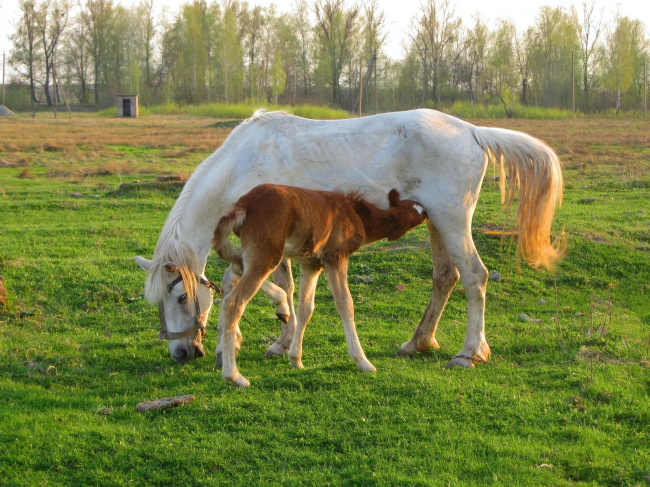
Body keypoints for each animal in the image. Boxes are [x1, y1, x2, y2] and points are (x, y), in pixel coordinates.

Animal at [134, 109, 560, 388]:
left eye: (180, 296)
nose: (181, 353)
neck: (244, 163)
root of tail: (472, 131)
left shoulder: (272, 244)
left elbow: (277, 286)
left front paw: (278, 335)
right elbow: (249, 282)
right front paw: (264, 340)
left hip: (452, 221)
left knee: (474, 277)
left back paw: (468, 353)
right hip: (437, 222)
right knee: (446, 277)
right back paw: (418, 342)